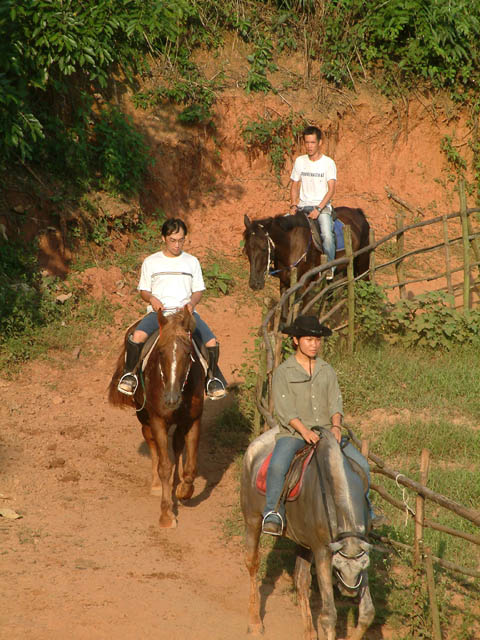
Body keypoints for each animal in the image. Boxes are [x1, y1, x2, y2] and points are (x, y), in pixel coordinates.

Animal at [108, 308, 203, 528]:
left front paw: (183, 490)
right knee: (151, 442)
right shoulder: (158, 420)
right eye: (160, 352)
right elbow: (164, 466)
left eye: (188, 353)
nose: (171, 399)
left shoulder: (193, 420)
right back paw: (157, 484)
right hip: (144, 416)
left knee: (176, 446)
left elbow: (190, 467)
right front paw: (166, 514)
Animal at [240, 424, 376, 640]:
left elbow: (367, 613)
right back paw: (254, 622)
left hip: (303, 541)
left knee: (301, 580)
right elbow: (329, 616)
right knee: (252, 563)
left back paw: (309, 632)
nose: (349, 589)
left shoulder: (361, 548)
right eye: (337, 567)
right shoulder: (323, 552)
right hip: (252, 520)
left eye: (364, 565)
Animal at [244, 210, 372, 300]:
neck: (291, 246)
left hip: (363, 264)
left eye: (264, 248)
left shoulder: (304, 287)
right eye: (246, 250)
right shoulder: (284, 285)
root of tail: (358, 213)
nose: (254, 284)